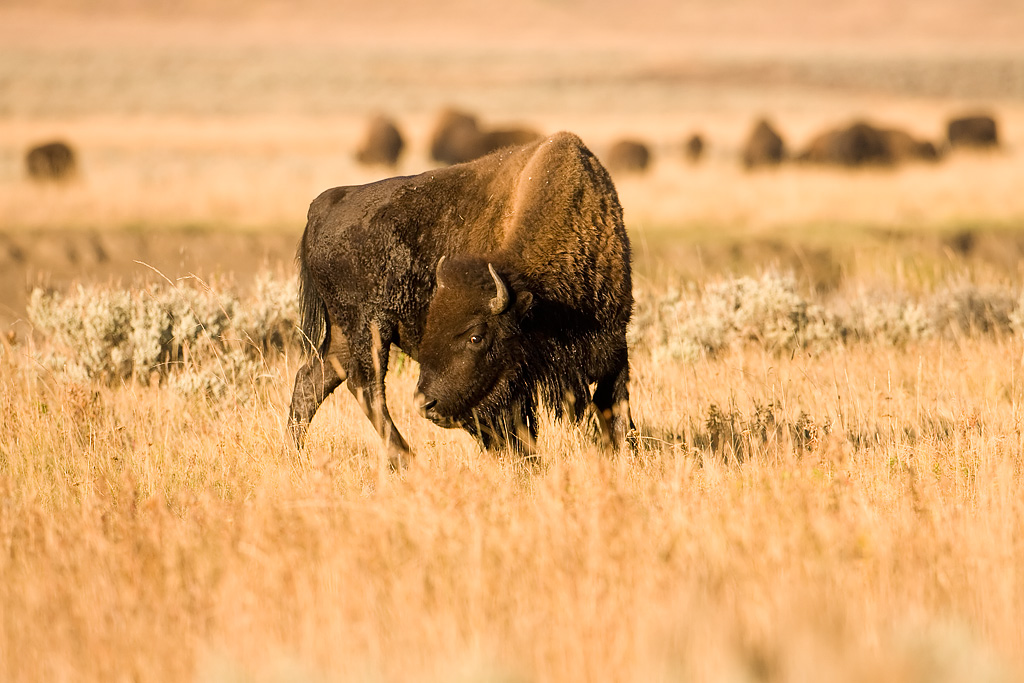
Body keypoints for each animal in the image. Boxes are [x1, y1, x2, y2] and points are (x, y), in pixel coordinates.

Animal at [288, 132, 634, 466]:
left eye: (475, 337)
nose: (427, 404)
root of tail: (320, 209)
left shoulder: (614, 347)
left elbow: (614, 410)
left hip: (344, 332)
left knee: (314, 380)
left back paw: (296, 453)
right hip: (368, 328)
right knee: (366, 386)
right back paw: (407, 459)